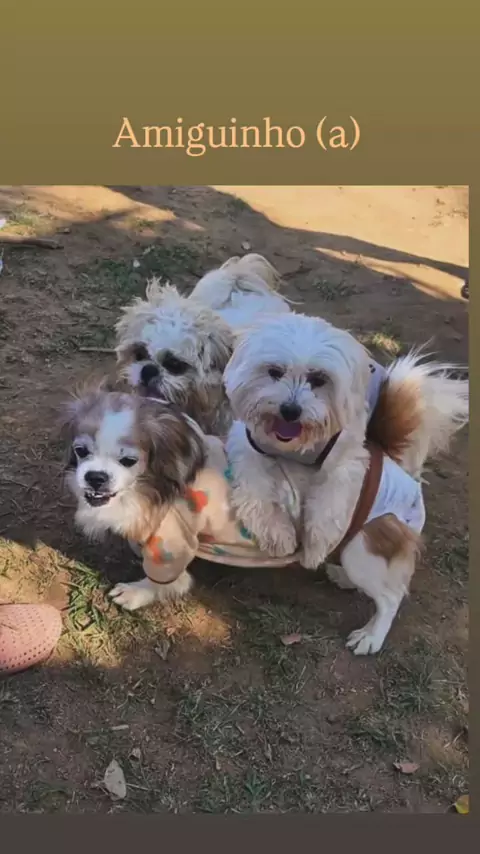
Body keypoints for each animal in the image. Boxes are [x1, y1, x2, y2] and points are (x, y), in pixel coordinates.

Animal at [223, 312, 468, 653]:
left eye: (318, 379)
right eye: (274, 372)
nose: (290, 409)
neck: (294, 448)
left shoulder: (348, 459)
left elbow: (330, 502)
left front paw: (314, 547)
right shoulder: (247, 448)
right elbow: (256, 490)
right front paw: (279, 534)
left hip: (362, 546)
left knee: (391, 597)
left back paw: (371, 636)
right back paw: (343, 578)